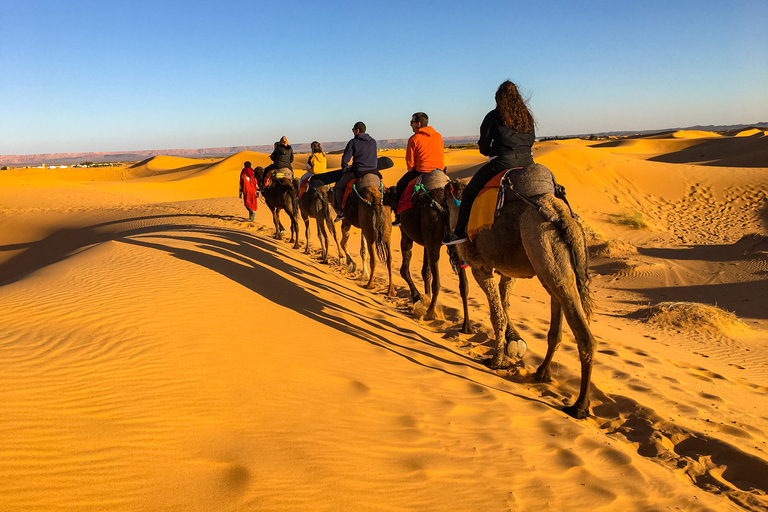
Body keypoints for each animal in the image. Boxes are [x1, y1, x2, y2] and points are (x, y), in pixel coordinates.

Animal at [388, 174, 472, 334]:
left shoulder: (407, 235)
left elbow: (404, 270)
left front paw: (418, 298)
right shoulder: (428, 243)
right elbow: (426, 273)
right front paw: (424, 298)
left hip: (433, 240)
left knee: (437, 282)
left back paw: (430, 313)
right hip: (454, 243)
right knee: (464, 284)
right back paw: (466, 327)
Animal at [444, 178, 592, 418]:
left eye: (445, 206)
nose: (448, 241)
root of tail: (562, 216)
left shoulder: (480, 267)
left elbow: (497, 314)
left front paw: (496, 361)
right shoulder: (508, 271)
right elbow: (504, 303)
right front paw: (513, 344)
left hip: (542, 245)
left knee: (584, 335)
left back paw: (579, 406)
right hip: (555, 266)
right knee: (557, 320)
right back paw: (542, 373)